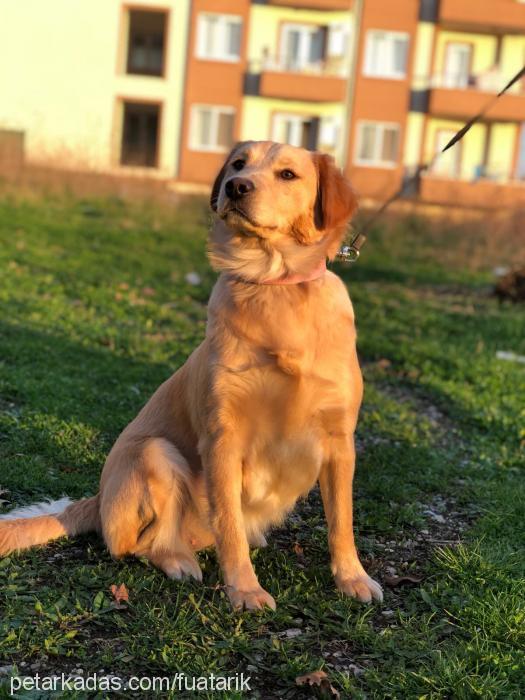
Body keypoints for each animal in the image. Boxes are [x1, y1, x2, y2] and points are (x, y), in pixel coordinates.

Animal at [0, 144, 380, 612]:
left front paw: (352, 578)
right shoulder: (223, 438)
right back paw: (179, 561)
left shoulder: (339, 441)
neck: (274, 287)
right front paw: (244, 589)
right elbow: (229, 525)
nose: (237, 187)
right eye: (239, 163)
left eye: (288, 174)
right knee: (141, 546)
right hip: (156, 454)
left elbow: (341, 521)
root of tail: (99, 499)